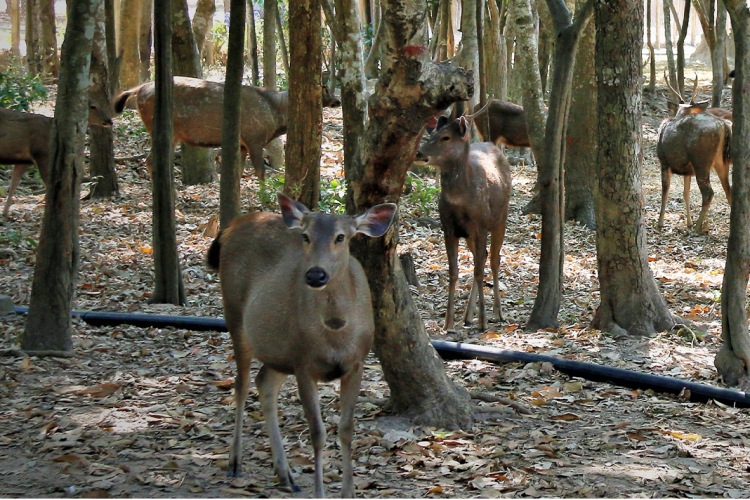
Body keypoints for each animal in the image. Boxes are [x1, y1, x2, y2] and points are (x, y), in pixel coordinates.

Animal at [114, 76, 340, 180]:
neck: (276, 112)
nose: (337, 101)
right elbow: (260, 171)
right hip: (160, 127)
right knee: (152, 159)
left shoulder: (242, 144)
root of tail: (139, 89)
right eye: (325, 88)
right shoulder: (254, 136)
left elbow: (237, 172)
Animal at [206, 193, 400, 498]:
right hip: (236, 315)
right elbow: (317, 433)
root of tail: (232, 225)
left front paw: (349, 492)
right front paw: (320, 492)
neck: (335, 330)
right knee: (241, 384)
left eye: (340, 237)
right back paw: (235, 463)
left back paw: (285, 474)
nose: (316, 275)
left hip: (279, 349)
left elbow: (346, 429)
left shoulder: (355, 363)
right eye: (306, 236)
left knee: (264, 382)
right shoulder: (304, 363)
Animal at [420, 113, 516, 332]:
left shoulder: (480, 226)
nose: (419, 154)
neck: (460, 200)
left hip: (500, 219)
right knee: (483, 257)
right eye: (432, 134)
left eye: (445, 137)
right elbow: (454, 271)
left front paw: (483, 321)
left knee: (494, 259)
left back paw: (498, 313)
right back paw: (467, 316)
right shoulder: (449, 228)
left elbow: (480, 271)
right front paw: (448, 322)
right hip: (470, 234)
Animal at [660, 73, 732, 232]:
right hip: (720, 162)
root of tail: (723, 125)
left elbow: (665, 191)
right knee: (728, 190)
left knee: (708, 193)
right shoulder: (687, 171)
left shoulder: (663, 161)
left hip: (701, 159)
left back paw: (698, 227)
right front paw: (688, 222)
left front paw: (660, 223)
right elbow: (686, 193)